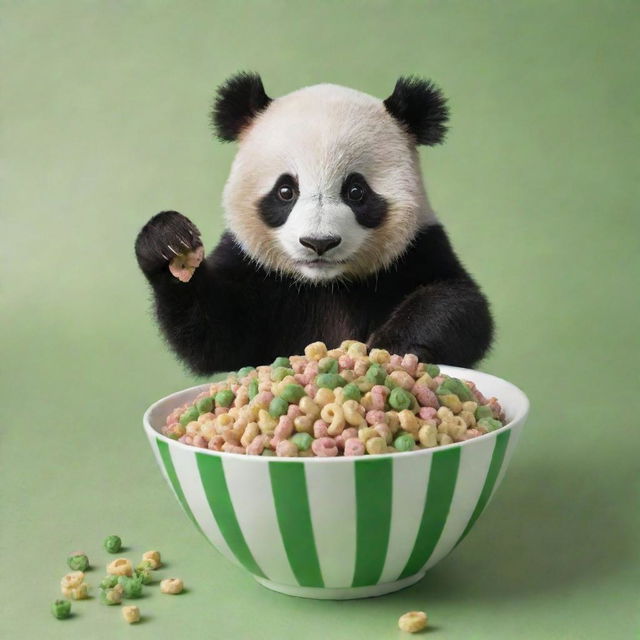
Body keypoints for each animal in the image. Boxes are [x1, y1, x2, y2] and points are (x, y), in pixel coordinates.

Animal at [134, 71, 496, 376]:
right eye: (285, 191)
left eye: (356, 191)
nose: (318, 243)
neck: (325, 285)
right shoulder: (251, 264)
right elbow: (218, 336)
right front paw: (169, 243)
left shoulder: (418, 247)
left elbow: (460, 303)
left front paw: (390, 345)